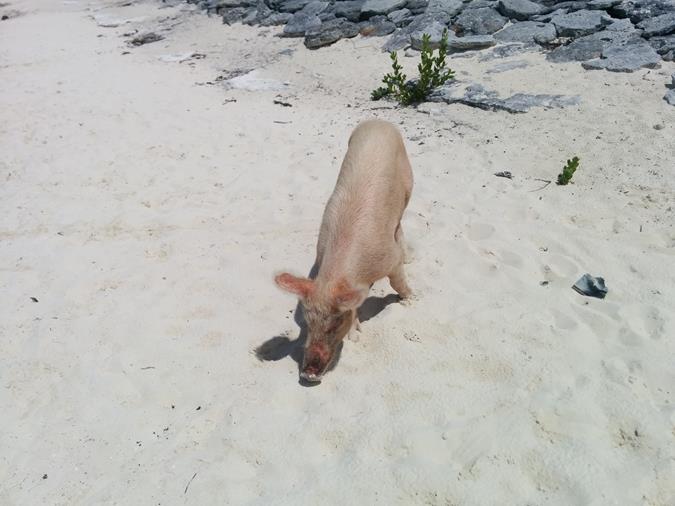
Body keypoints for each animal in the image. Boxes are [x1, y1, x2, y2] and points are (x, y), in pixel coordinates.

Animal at [274, 118, 412, 382]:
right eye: (308, 323)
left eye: (335, 323)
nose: (307, 374)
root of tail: (378, 121)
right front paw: (355, 334)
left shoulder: (390, 259)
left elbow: (398, 281)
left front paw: (411, 300)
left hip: (409, 183)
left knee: (400, 223)